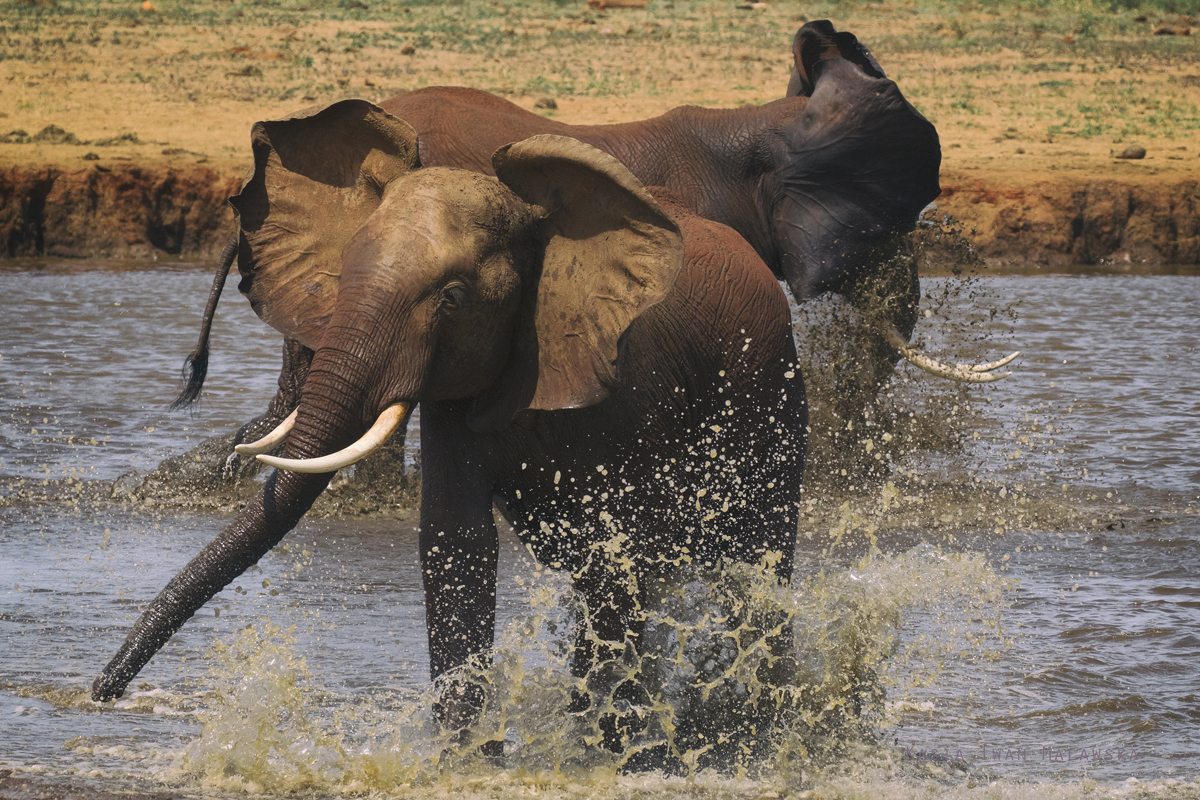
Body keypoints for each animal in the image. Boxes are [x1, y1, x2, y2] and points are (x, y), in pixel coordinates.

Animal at [91, 101, 806, 758]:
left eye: (454, 298)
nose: (101, 693)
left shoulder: (632, 377)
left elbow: (618, 549)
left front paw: (615, 755)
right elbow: (456, 542)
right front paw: (465, 759)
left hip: (774, 392)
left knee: (757, 560)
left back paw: (755, 731)